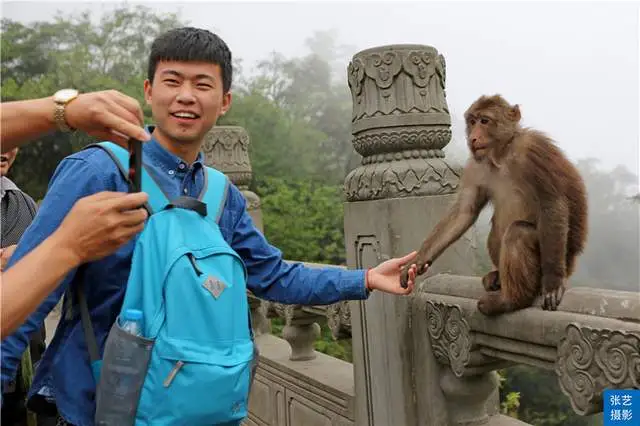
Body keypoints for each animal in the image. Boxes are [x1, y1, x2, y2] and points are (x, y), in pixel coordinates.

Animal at [402, 95, 588, 314]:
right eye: (472, 121)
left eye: (484, 121)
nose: (473, 137)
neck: (502, 155)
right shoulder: (475, 166)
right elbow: (464, 212)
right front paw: (417, 261)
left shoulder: (534, 149)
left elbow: (552, 204)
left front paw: (552, 281)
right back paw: (498, 277)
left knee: (518, 232)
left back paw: (511, 300)